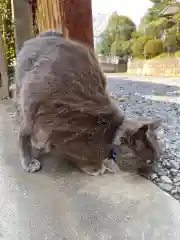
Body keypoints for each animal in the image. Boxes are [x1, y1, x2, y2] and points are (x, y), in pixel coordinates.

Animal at [14, 31, 164, 175]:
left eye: (157, 158)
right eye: (149, 161)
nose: (154, 170)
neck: (109, 135)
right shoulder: (65, 135)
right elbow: (79, 156)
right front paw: (94, 167)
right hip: (31, 104)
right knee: (23, 132)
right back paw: (28, 160)